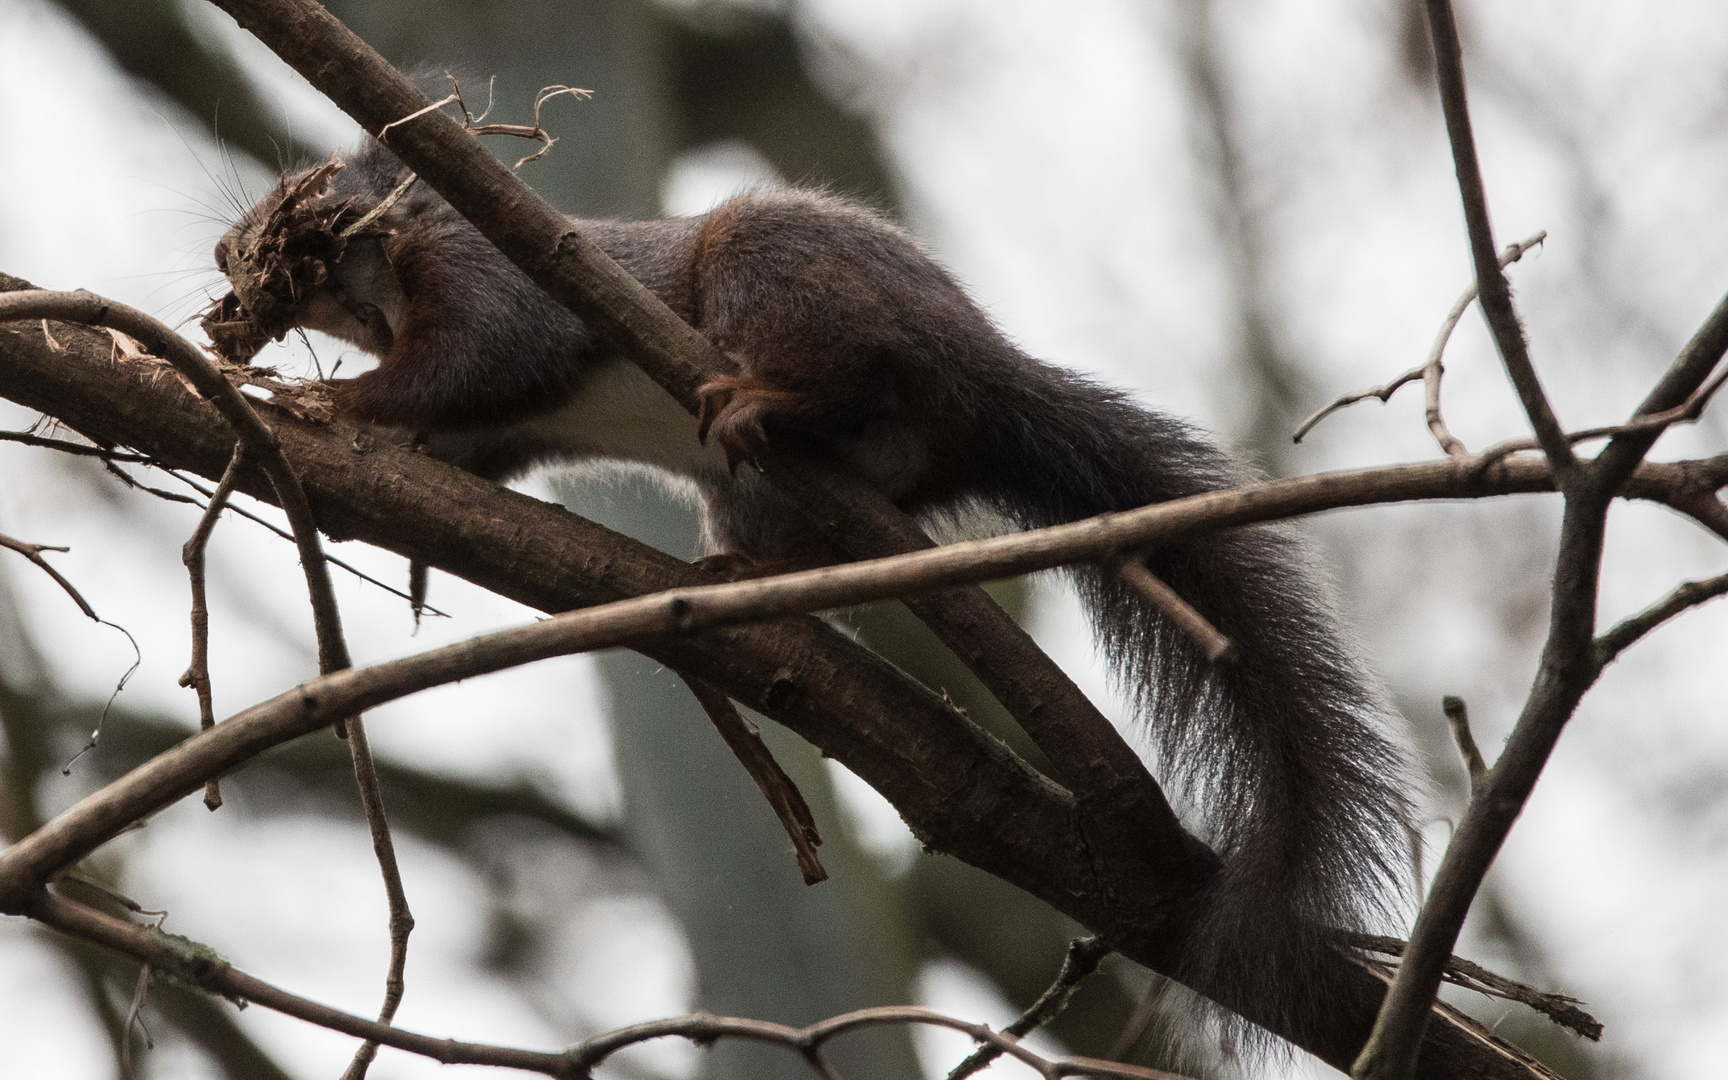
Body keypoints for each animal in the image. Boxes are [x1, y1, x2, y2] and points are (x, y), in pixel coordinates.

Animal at [209, 134, 1410, 1043]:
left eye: (315, 186)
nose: (226, 254)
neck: (395, 277)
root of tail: (988, 382)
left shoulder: (495, 286)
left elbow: (467, 365)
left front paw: (321, 401)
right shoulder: (500, 423)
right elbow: (465, 431)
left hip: (780, 272)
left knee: (860, 369)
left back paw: (773, 401)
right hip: (774, 494)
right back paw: (740, 576)